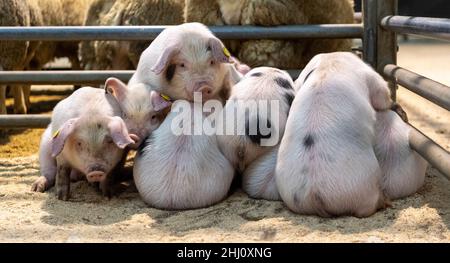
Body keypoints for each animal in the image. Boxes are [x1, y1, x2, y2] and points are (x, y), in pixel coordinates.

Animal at [276, 52, 392, 219]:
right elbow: (382, 96)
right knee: (367, 207)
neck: (329, 62)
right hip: (364, 188)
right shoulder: (372, 79)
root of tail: (315, 195)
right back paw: (386, 202)